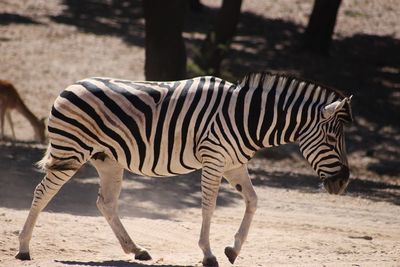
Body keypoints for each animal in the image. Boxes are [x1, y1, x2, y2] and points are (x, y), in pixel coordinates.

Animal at [15, 72, 354, 266]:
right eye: (332, 138)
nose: (343, 183)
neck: (247, 117)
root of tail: (69, 85)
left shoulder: (234, 164)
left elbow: (253, 201)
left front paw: (233, 249)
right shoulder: (214, 158)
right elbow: (208, 206)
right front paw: (208, 254)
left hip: (107, 159)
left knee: (106, 203)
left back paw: (136, 250)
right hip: (71, 151)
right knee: (43, 191)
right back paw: (24, 248)